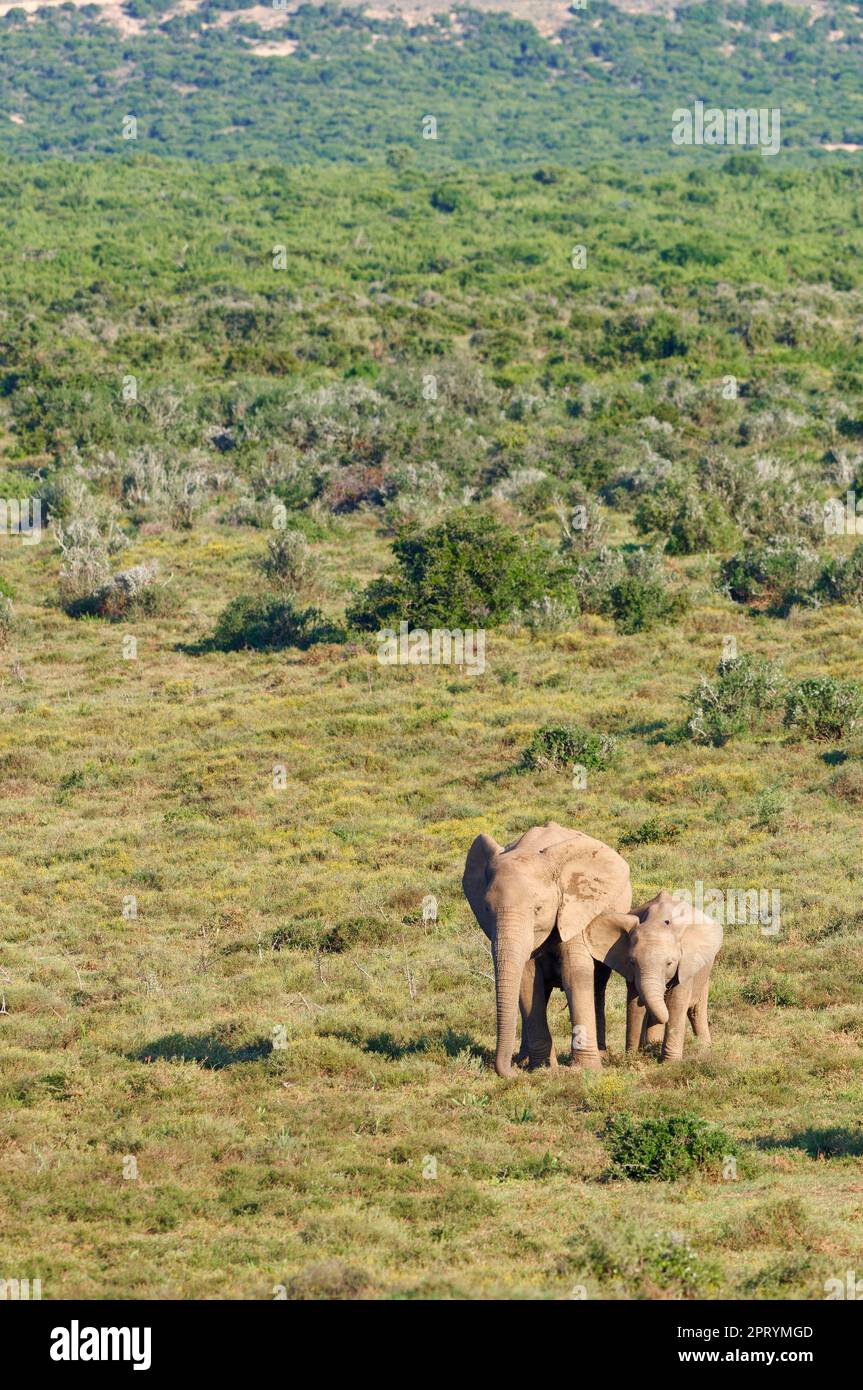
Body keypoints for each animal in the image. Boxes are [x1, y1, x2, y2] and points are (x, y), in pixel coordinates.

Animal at [461, 817, 628, 1078]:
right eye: (487, 909)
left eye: (538, 908)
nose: (510, 1074)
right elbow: (528, 980)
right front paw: (542, 1068)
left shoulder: (574, 908)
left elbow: (575, 973)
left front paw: (586, 1069)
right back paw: (523, 1059)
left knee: (598, 983)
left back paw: (600, 1055)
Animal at [586, 889, 722, 1061]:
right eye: (632, 962)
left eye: (670, 963)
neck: (657, 921)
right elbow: (635, 1004)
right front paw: (632, 1057)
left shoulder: (685, 964)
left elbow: (676, 1002)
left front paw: (670, 1062)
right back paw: (651, 1047)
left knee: (696, 1010)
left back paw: (704, 1051)